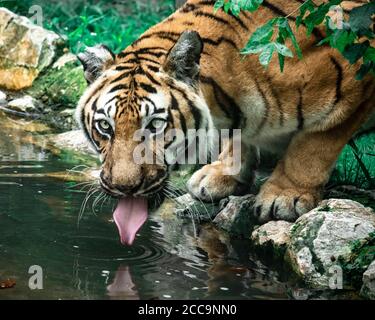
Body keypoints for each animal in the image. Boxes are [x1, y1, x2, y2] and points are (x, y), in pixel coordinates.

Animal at [75, 0, 374, 245]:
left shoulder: (351, 77)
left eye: (154, 126)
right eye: (105, 126)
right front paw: (222, 175)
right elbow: (238, 139)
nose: (123, 188)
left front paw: (284, 196)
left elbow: (313, 145)